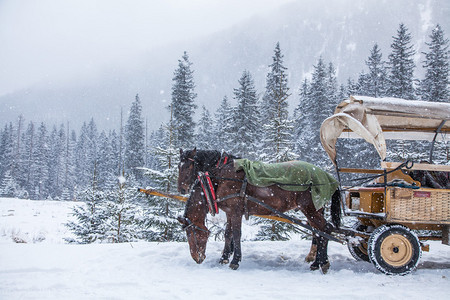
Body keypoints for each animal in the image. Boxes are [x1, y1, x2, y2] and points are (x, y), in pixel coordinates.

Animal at [178, 149, 340, 274]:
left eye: (191, 232)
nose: (196, 258)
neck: (222, 177)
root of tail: (327, 177)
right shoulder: (230, 211)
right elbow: (228, 234)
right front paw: (224, 258)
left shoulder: (235, 211)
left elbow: (236, 234)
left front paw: (234, 261)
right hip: (316, 210)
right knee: (318, 233)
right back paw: (316, 263)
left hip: (310, 209)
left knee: (326, 229)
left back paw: (324, 263)